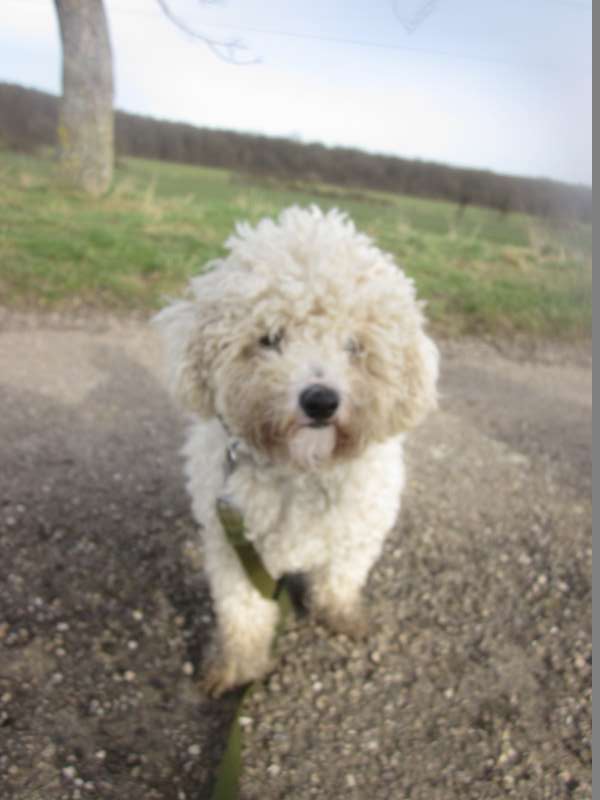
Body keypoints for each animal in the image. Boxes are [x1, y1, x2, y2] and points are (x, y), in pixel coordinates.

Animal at [152, 206, 438, 692]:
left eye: (355, 345)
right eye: (270, 338)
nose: (320, 400)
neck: (303, 470)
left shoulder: (356, 536)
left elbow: (341, 580)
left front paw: (340, 616)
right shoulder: (236, 550)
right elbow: (242, 615)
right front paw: (238, 668)